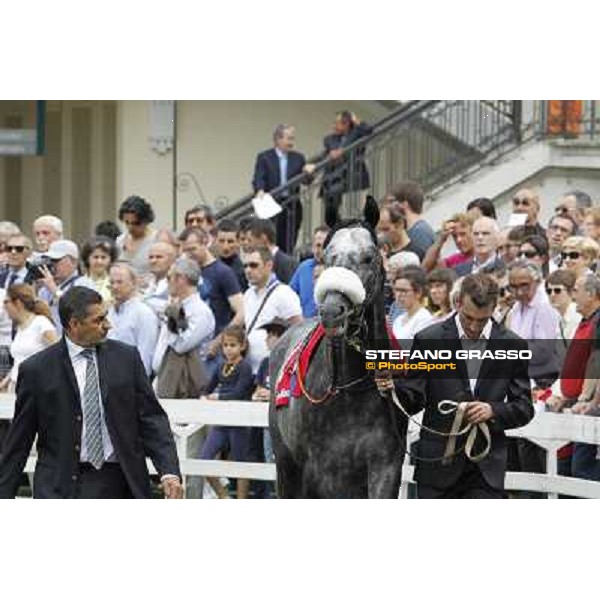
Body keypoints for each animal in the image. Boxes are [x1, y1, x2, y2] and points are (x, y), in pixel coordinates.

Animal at [268, 197, 406, 496]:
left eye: (368, 257)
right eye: (327, 256)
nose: (332, 310)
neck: (351, 390)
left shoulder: (384, 465)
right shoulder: (318, 471)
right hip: (287, 465)